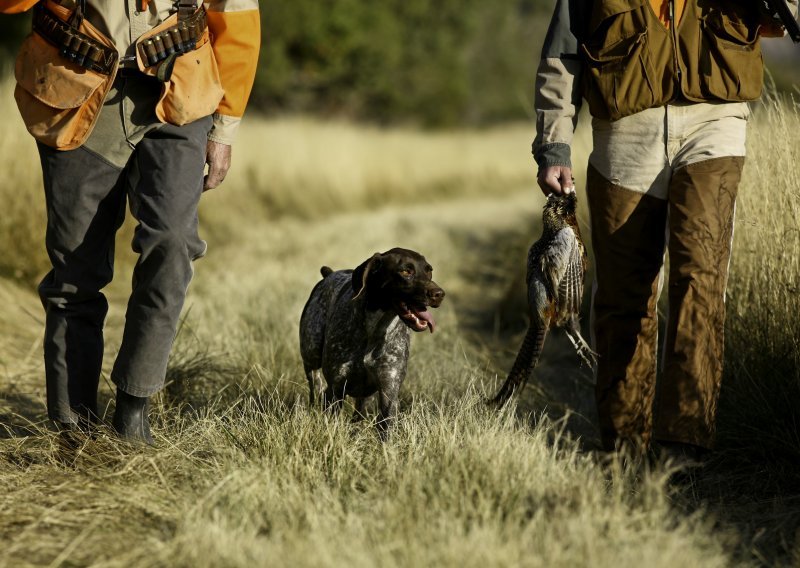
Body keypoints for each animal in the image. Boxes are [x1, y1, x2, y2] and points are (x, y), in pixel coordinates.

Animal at [298, 246, 444, 438]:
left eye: (429, 271)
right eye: (406, 271)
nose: (439, 294)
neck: (374, 330)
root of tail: (329, 274)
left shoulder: (389, 389)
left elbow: (385, 430)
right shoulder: (337, 387)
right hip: (311, 356)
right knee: (316, 388)